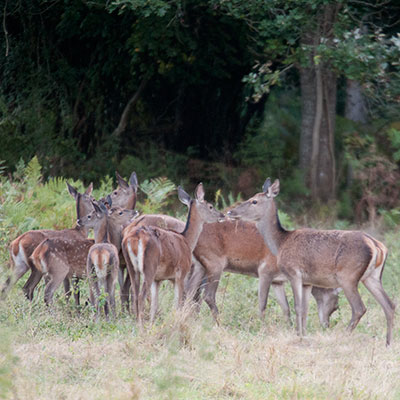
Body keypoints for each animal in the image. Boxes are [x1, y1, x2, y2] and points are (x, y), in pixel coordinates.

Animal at [122, 184, 225, 324]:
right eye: (210, 206)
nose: (222, 215)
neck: (186, 240)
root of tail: (134, 237)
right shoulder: (180, 274)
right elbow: (178, 304)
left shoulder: (158, 279)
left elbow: (155, 306)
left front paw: (153, 325)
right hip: (149, 267)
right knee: (141, 295)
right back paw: (140, 325)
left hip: (132, 267)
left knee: (133, 292)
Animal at [227, 180, 396, 346]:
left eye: (254, 201)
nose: (230, 212)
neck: (280, 243)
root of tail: (377, 245)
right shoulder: (307, 282)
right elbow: (305, 309)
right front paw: (303, 334)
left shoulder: (294, 272)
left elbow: (297, 306)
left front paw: (298, 335)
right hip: (372, 277)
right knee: (389, 305)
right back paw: (388, 343)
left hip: (348, 276)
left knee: (359, 308)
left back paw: (343, 336)